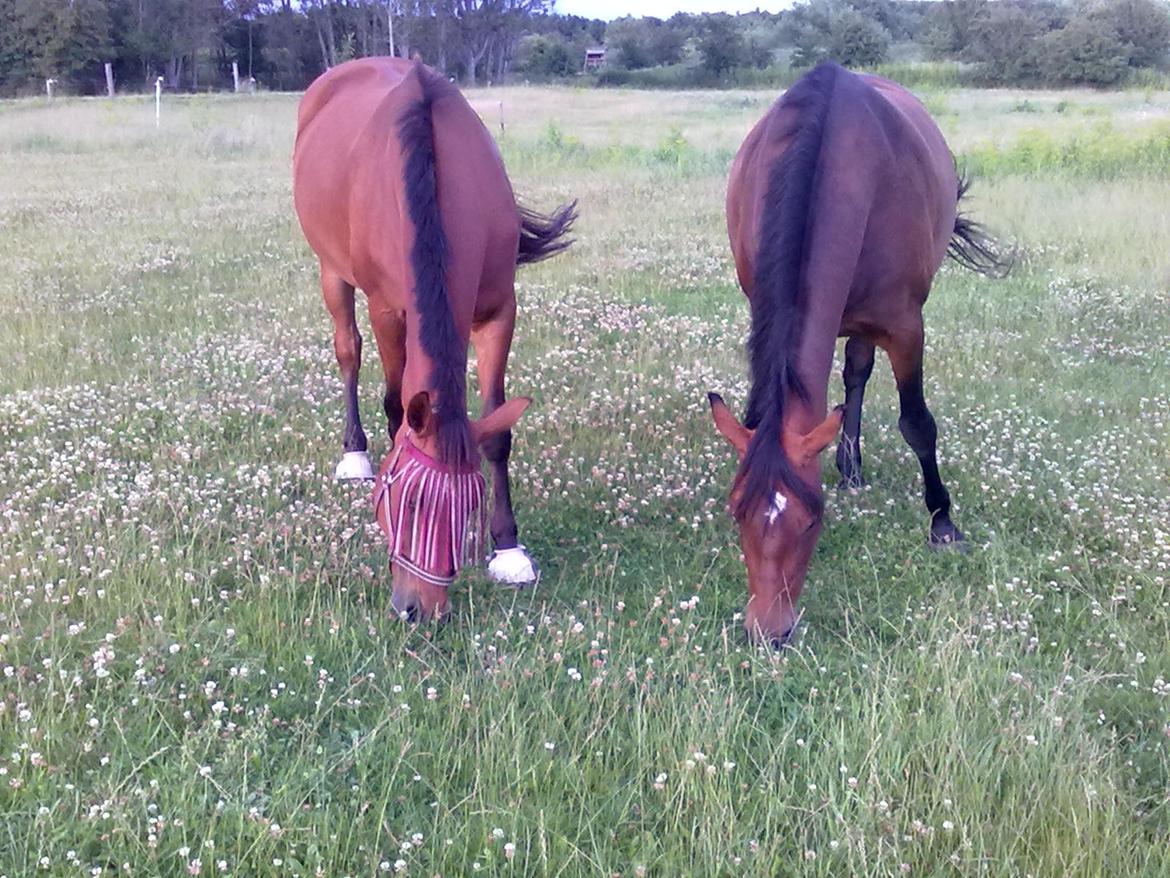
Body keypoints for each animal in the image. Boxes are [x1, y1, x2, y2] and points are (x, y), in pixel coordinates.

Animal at [292, 58, 575, 622]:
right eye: (404, 500)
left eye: (469, 508)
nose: (417, 609)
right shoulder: (387, 311)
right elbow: (395, 406)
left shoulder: (498, 313)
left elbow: (497, 433)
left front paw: (508, 550)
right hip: (331, 271)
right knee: (348, 350)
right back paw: (354, 453)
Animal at [706, 62, 1010, 650]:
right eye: (737, 513)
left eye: (812, 520)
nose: (768, 632)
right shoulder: (761, 304)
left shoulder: (905, 327)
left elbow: (918, 424)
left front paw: (942, 522)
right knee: (853, 376)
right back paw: (849, 463)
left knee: (859, 374)